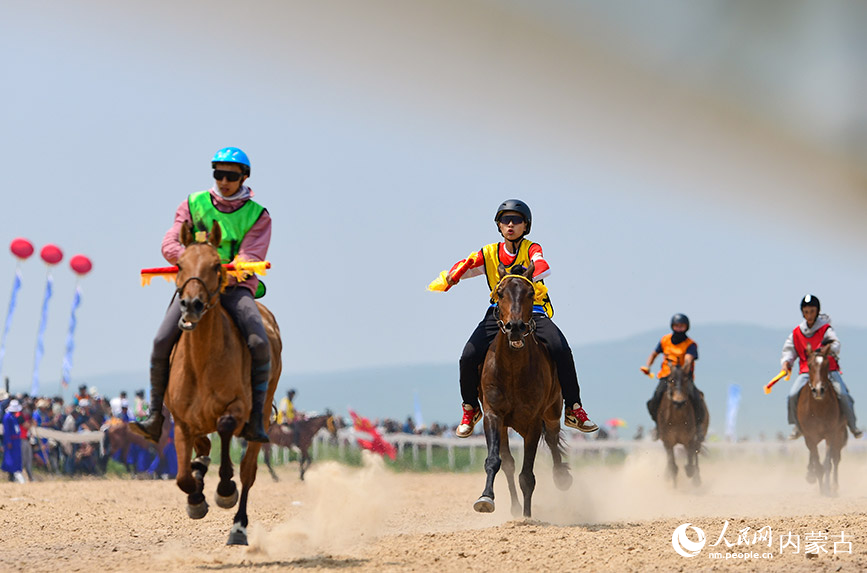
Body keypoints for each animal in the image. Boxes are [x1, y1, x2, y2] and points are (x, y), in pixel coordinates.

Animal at [163, 221, 282, 546]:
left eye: (217, 265)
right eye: (180, 264)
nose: (191, 304)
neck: (202, 361)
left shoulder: (237, 408)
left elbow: (227, 430)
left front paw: (225, 490)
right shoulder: (181, 420)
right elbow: (182, 477)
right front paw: (195, 497)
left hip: (260, 417)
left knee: (248, 471)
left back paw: (238, 528)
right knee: (203, 449)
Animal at [474, 262, 572, 518]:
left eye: (530, 293)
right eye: (500, 293)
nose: (515, 327)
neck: (512, 370)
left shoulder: (533, 421)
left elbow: (527, 475)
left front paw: (528, 517)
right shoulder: (493, 415)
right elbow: (495, 461)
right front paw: (486, 498)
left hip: (553, 411)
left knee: (553, 439)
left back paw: (561, 477)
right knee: (508, 462)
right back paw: (515, 507)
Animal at [797, 344, 847, 495]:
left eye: (827, 364)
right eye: (809, 364)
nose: (818, 390)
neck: (818, 410)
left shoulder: (830, 434)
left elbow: (827, 463)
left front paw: (827, 489)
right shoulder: (810, 436)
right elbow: (818, 463)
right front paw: (822, 489)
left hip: (839, 433)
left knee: (836, 459)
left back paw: (834, 486)